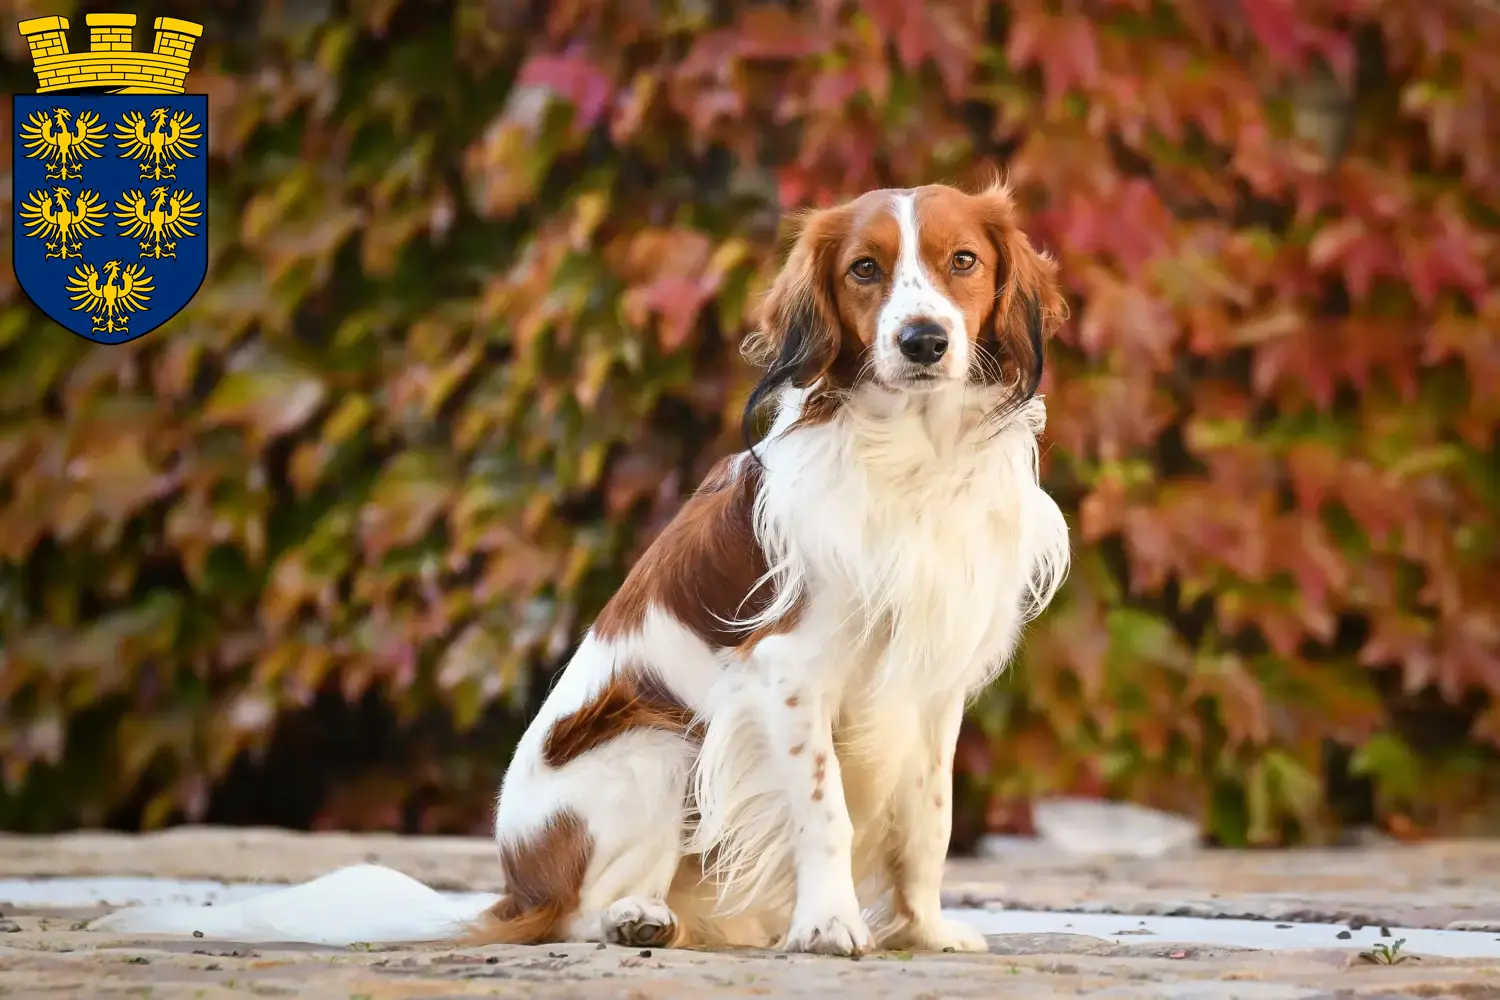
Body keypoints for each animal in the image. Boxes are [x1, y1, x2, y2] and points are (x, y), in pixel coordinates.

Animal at [90, 182, 1068, 959]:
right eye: (865, 269)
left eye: (963, 261)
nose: (922, 340)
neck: (914, 458)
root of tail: (516, 884)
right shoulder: (787, 675)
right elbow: (825, 810)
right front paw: (830, 926)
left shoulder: (932, 687)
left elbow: (929, 821)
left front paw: (926, 930)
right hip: (659, 749)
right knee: (574, 918)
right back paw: (635, 920)